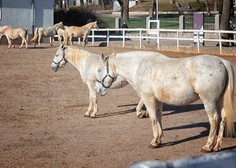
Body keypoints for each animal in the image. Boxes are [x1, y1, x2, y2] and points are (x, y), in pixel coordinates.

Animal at [95, 50, 235, 152]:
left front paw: (154, 141)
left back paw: (208, 146)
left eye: (99, 70)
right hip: (220, 101)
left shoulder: (148, 99)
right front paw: (159, 139)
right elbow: (159, 117)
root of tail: (222, 62)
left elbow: (152, 118)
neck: (140, 66)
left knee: (214, 119)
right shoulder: (158, 101)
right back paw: (217, 146)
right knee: (222, 119)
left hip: (209, 101)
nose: (97, 89)